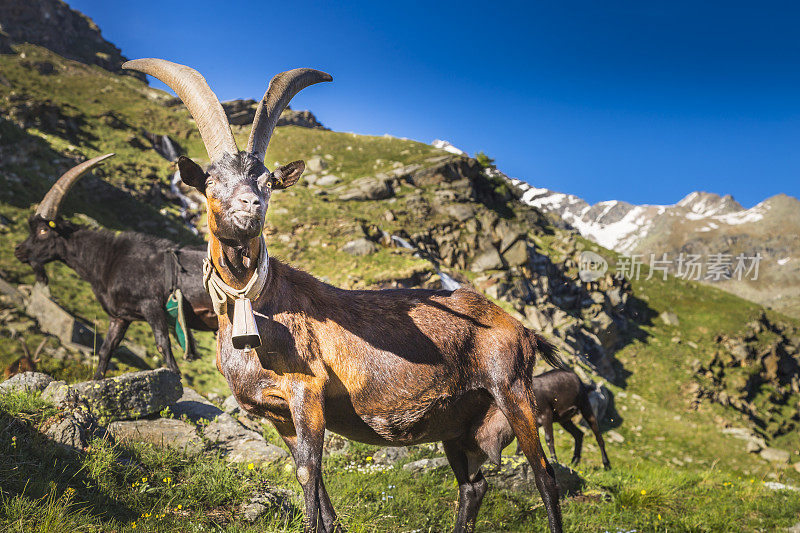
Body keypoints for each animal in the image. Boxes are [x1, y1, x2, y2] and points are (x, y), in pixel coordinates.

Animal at [15, 154, 216, 378]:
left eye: (43, 231)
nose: (19, 251)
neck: (109, 259)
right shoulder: (120, 317)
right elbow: (106, 349)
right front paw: (97, 379)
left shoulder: (151, 306)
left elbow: (162, 345)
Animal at [123, 58, 564, 532]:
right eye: (211, 181)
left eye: (266, 181)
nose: (250, 206)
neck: (257, 306)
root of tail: (522, 329)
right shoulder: (280, 416)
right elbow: (312, 482)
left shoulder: (307, 393)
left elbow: (309, 473)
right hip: (458, 423)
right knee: (473, 486)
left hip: (512, 390)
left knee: (545, 477)